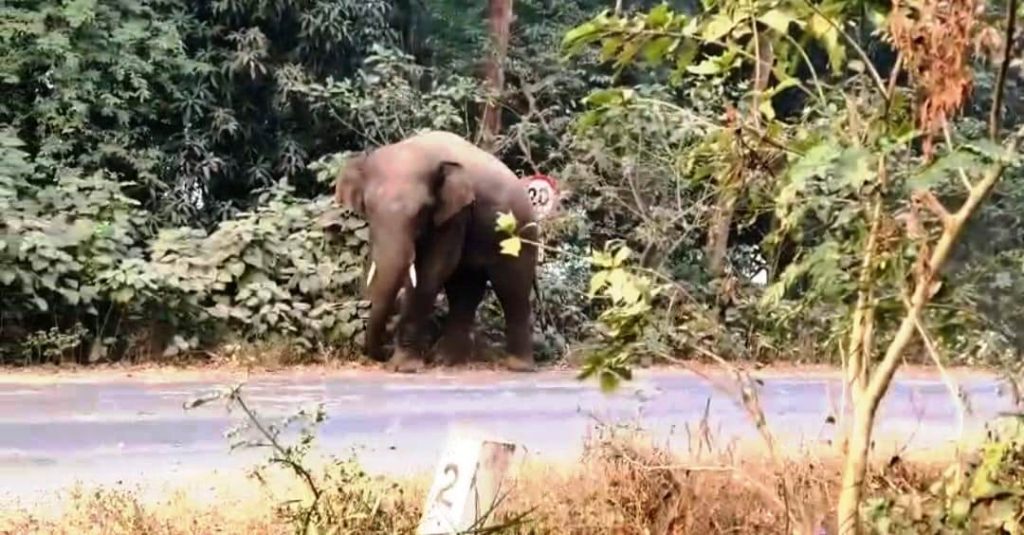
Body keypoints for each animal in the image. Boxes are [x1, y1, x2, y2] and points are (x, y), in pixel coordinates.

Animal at [333, 130, 539, 373]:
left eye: (422, 211)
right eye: (369, 207)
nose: (383, 352)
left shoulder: (456, 214)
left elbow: (431, 273)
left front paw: (404, 367)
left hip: (520, 234)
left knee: (512, 290)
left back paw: (518, 367)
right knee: (465, 289)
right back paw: (446, 361)